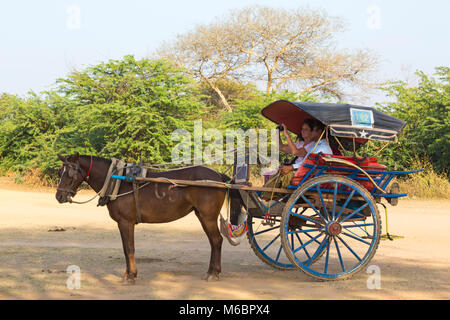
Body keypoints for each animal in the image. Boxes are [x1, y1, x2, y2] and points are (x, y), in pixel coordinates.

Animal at [57, 154, 246, 284]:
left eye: (71, 174)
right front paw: (128, 274)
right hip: (202, 215)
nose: (59, 196)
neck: (119, 182)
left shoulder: (125, 223)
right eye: (60, 172)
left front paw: (130, 276)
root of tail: (218, 177)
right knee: (214, 242)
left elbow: (129, 249)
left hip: (208, 217)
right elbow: (126, 249)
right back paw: (211, 272)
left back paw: (214, 273)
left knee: (216, 240)